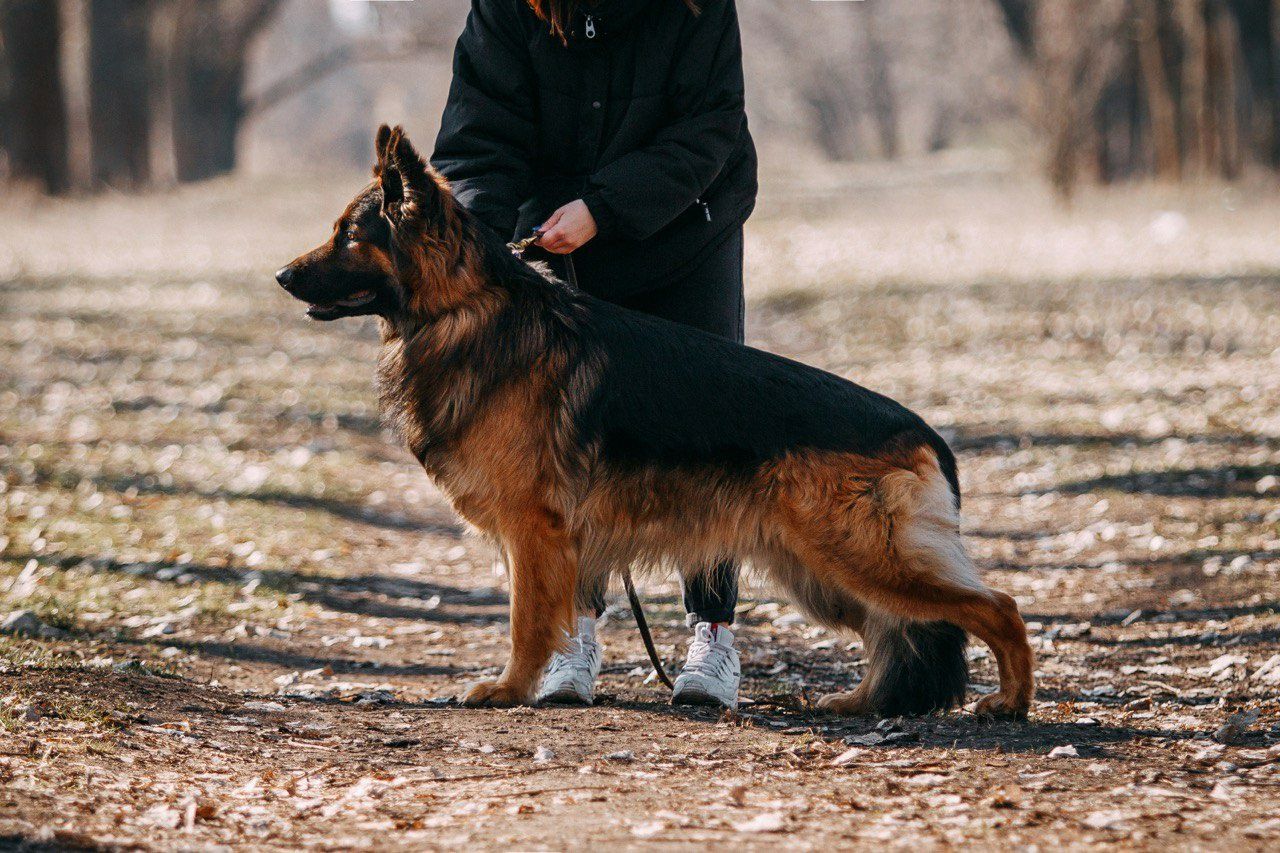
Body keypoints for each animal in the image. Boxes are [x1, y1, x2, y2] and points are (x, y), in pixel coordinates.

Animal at [275, 122, 1034, 712]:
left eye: (349, 235)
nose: (280, 276)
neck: (465, 310)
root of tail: (927, 435)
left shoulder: (532, 529)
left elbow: (525, 621)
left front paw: (509, 690)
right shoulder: (551, 539)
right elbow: (552, 615)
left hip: (857, 556)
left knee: (997, 606)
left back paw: (1012, 701)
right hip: (820, 567)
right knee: (894, 630)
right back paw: (861, 700)